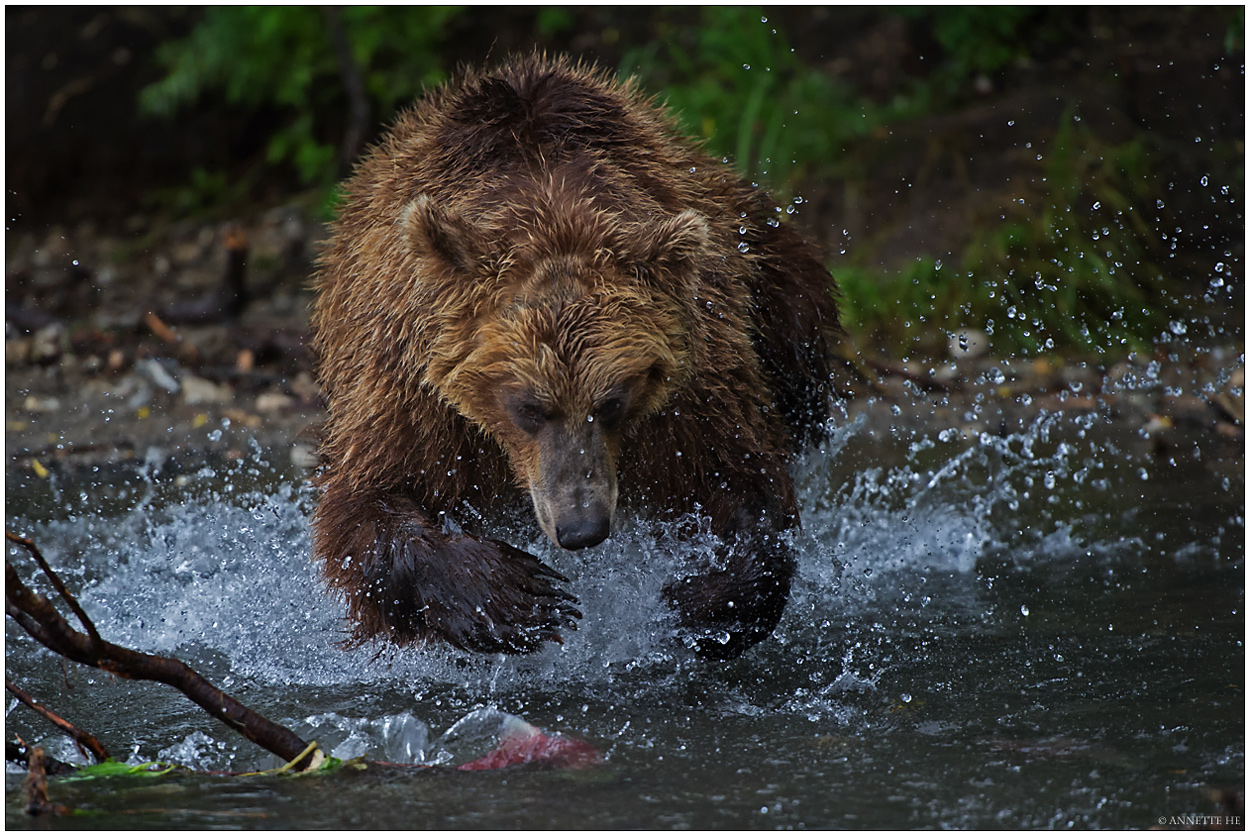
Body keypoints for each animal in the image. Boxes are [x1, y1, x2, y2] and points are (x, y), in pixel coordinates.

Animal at [311, 53, 840, 659]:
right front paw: (515, 598)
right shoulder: (414, 389)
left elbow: (740, 473)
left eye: (611, 402)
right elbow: (366, 506)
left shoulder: (693, 386)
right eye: (528, 407)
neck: (546, 202)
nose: (582, 527)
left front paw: (704, 599)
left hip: (772, 278)